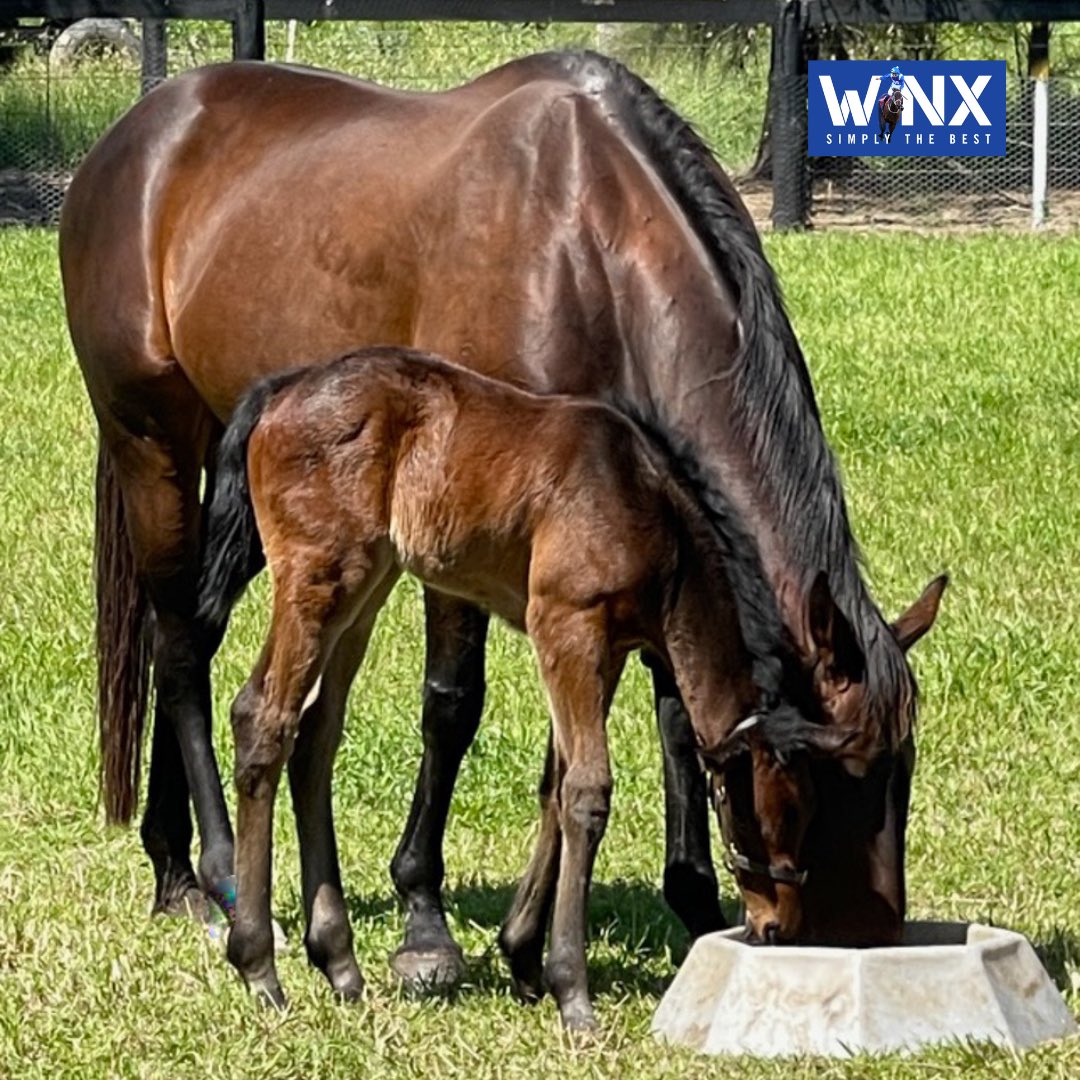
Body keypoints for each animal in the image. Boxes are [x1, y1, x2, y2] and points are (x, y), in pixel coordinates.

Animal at [200, 347, 859, 1028]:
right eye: (774, 814)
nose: (778, 924)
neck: (643, 502)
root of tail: (280, 391)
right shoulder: (566, 626)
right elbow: (589, 790)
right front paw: (572, 991)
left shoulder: (606, 650)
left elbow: (555, 785)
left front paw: (523, 957)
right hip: (318, 578)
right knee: (263, 717)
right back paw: (259, 966)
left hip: (365, 588)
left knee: (315, 736)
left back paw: (339, 964)